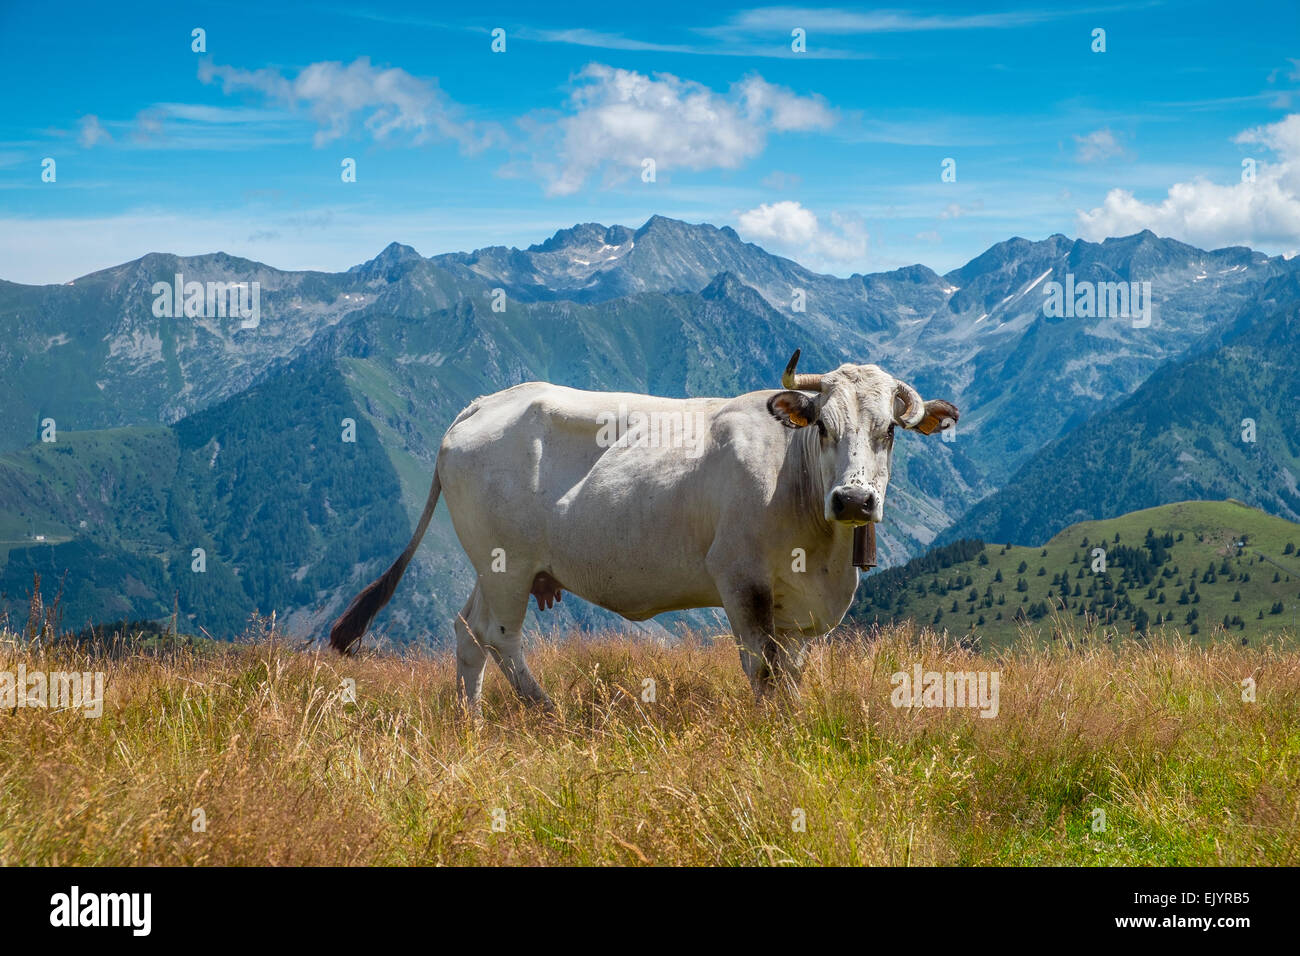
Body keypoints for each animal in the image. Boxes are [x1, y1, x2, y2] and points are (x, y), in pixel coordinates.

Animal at [325, 353, 956, 712]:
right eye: (823, 425)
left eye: (889, 431)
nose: (853, 499)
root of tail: (484, 403)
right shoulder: (740, 580)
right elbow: (762, 669)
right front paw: (770, 729)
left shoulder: (798, 606)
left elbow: (793, 673)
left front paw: (794, 723)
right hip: (508, 565)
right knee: (497, 636)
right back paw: (548, 712)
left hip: (496, 565)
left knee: (466, 633)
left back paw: (470, 720)